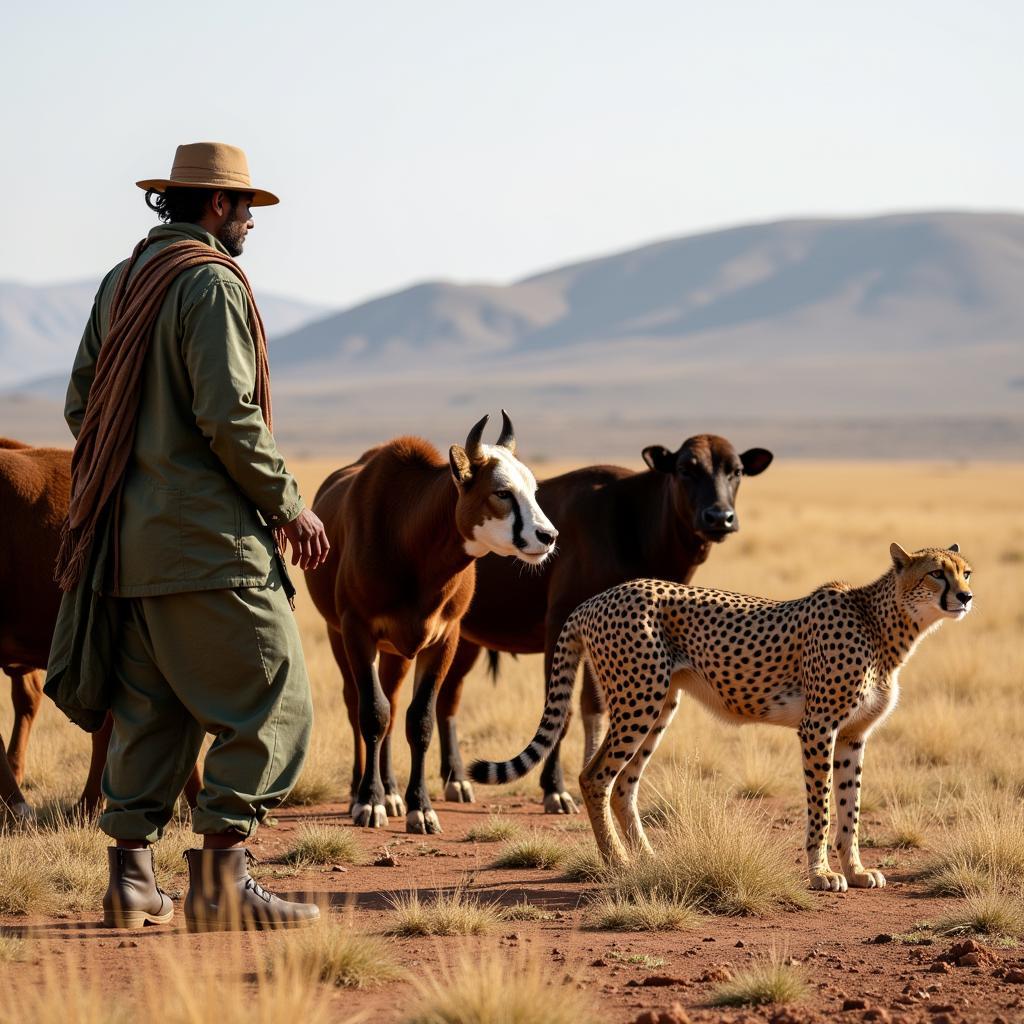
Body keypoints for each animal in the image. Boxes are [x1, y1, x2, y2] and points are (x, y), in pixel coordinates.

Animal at [305, 411, 561, 835]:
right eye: (502, 492)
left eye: (534, 489)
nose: (547, 535)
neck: (408, 539)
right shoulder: (358, 631)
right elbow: (371, 714)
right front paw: (369, 802)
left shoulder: (443, 639)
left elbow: (418, 720)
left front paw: (419, 808)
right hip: (340, 637)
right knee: (359, 703)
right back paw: (362, 790)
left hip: (397, 653)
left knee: (393, 704)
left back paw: (392, 792)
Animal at [434, 436, 774, 811]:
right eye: (686, 468)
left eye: (736, 471)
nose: (719, 517)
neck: (633, 524)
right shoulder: (560, 624)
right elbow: (562, 712)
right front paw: (555, 788)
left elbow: (592, 708)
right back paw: (451, 782)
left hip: (465, 641)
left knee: (446, 699)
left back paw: (454, 779)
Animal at [468, 544, 970, 888]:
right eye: (936, 574)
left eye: (965, 571)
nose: (966, 596)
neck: (884, 625)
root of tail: (598, 598)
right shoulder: (818, 728)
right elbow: (823, 807)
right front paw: (821, 874)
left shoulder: (853, 736)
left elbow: (851, 808)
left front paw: (858, 870)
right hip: (639, 698)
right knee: (595, 776)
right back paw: (617, 862)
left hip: (661, 704)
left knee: (624, 783)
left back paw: (646, 858)